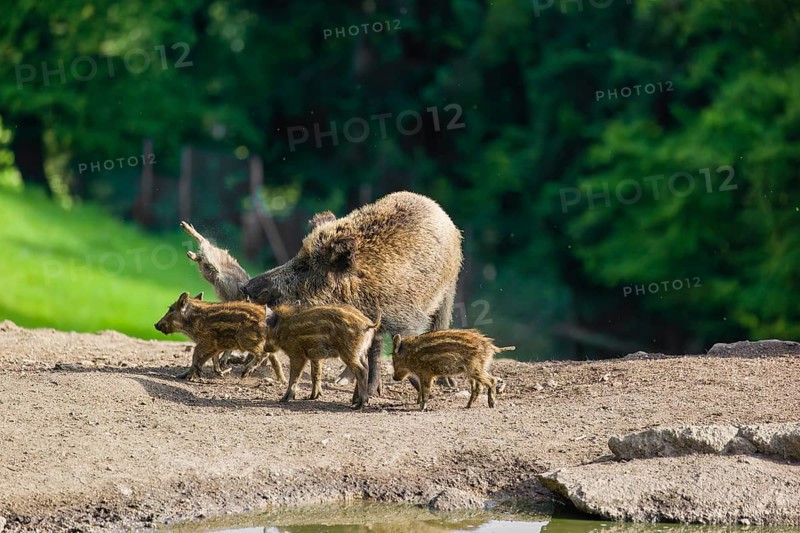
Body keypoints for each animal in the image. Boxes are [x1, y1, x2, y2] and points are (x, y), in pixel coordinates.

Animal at [154, 292, 287, 383]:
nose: (155, 324)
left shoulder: (207, 341)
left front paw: (194, 375)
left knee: (263, 354)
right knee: (274, 358)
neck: (193, 320)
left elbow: (196, 354)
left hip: (246, 340)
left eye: (171, 309)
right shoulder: (216, 346)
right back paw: (282, 381)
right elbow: (210, 358)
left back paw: (245, 373)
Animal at [183, 191, 463, 396]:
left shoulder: (406, 317)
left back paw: (448, 385)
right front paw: (368, 390)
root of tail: (439, 209)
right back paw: (343, 380)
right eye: (297, 256)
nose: (247, 287)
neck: (362, 283)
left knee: (440, 323)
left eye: (305, 267)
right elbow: (371, 350)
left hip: (449, 289)